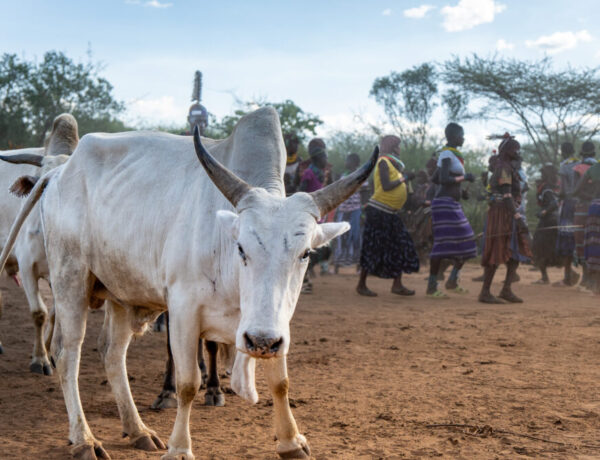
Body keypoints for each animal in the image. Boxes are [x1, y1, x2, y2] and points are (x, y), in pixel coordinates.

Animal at [0, 114, 77, 370]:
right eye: (39, 184)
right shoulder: (27, 267)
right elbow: (39, 313)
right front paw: (39, 359)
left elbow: (54, 313)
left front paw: (49, 353)